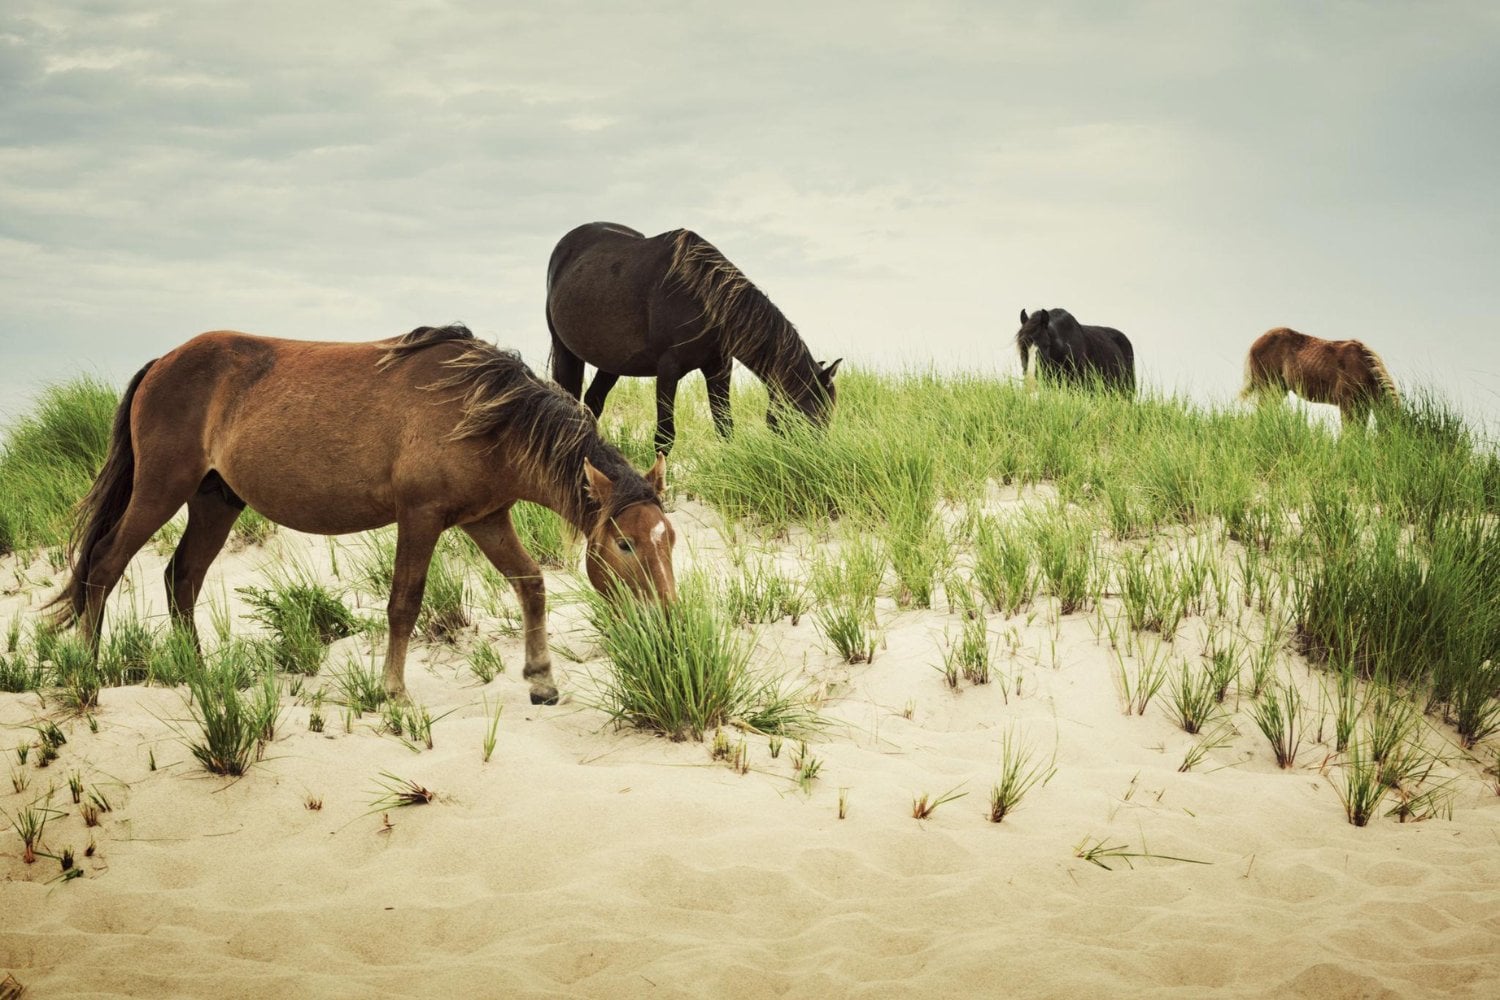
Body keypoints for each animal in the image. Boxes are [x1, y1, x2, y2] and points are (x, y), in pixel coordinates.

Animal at [44, 324, 676, 705]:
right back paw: (90, 674)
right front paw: (393, 692)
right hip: (160, 489)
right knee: (105, 566)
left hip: (213, 502)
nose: (668, 623)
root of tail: (162, 363)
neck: (484, 412)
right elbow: (404, 604)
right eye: (624, 544)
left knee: (182, 578)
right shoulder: (420, 517)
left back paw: (198, 675)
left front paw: (541, 680)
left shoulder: (487, 518)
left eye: (669, 540)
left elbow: (531, 584)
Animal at [546, 222, 842, 453]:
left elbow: (725, 427)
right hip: (565, 352)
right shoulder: (668, 370)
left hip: (612, 362)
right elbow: (664, 436)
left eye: (828, 416)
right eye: (806, 417)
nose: (814, 461)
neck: (701, 296)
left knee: (593, 402)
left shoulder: (719, 368)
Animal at [1240, 327, 1400, 428]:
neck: (1363, 367)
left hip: (1279, 390)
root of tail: (1255, 344)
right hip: (1268, 388)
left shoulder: (1363, 406)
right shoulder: (1347, 404)